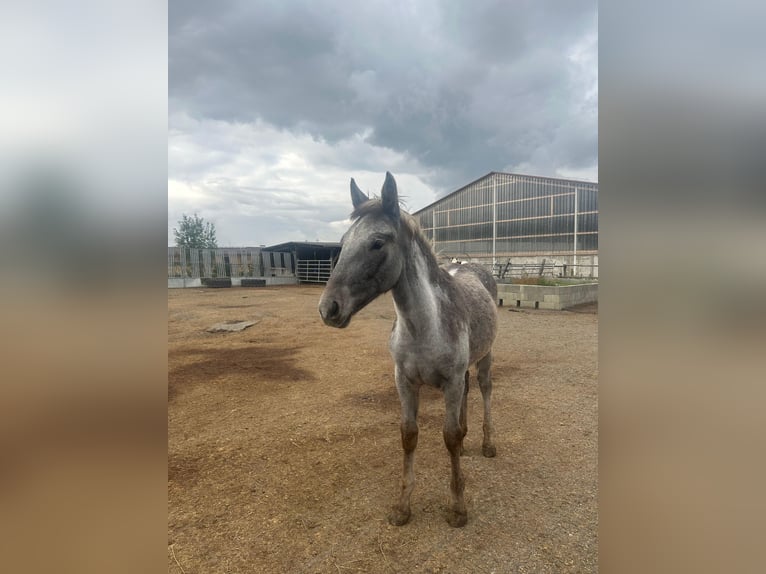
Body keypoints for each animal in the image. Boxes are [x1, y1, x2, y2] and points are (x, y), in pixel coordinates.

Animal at [318, 172, 498, 528]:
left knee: (484, 389)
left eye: (377, 242)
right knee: (469, 393)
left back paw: (486, 443)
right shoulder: (404, 380)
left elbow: (448, 436)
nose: (328, 308)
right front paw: (402, 506)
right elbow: (409, 435)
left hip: (484, 357)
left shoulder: (450, 382)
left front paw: (458, 507)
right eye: (343, 242)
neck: (424, 327)